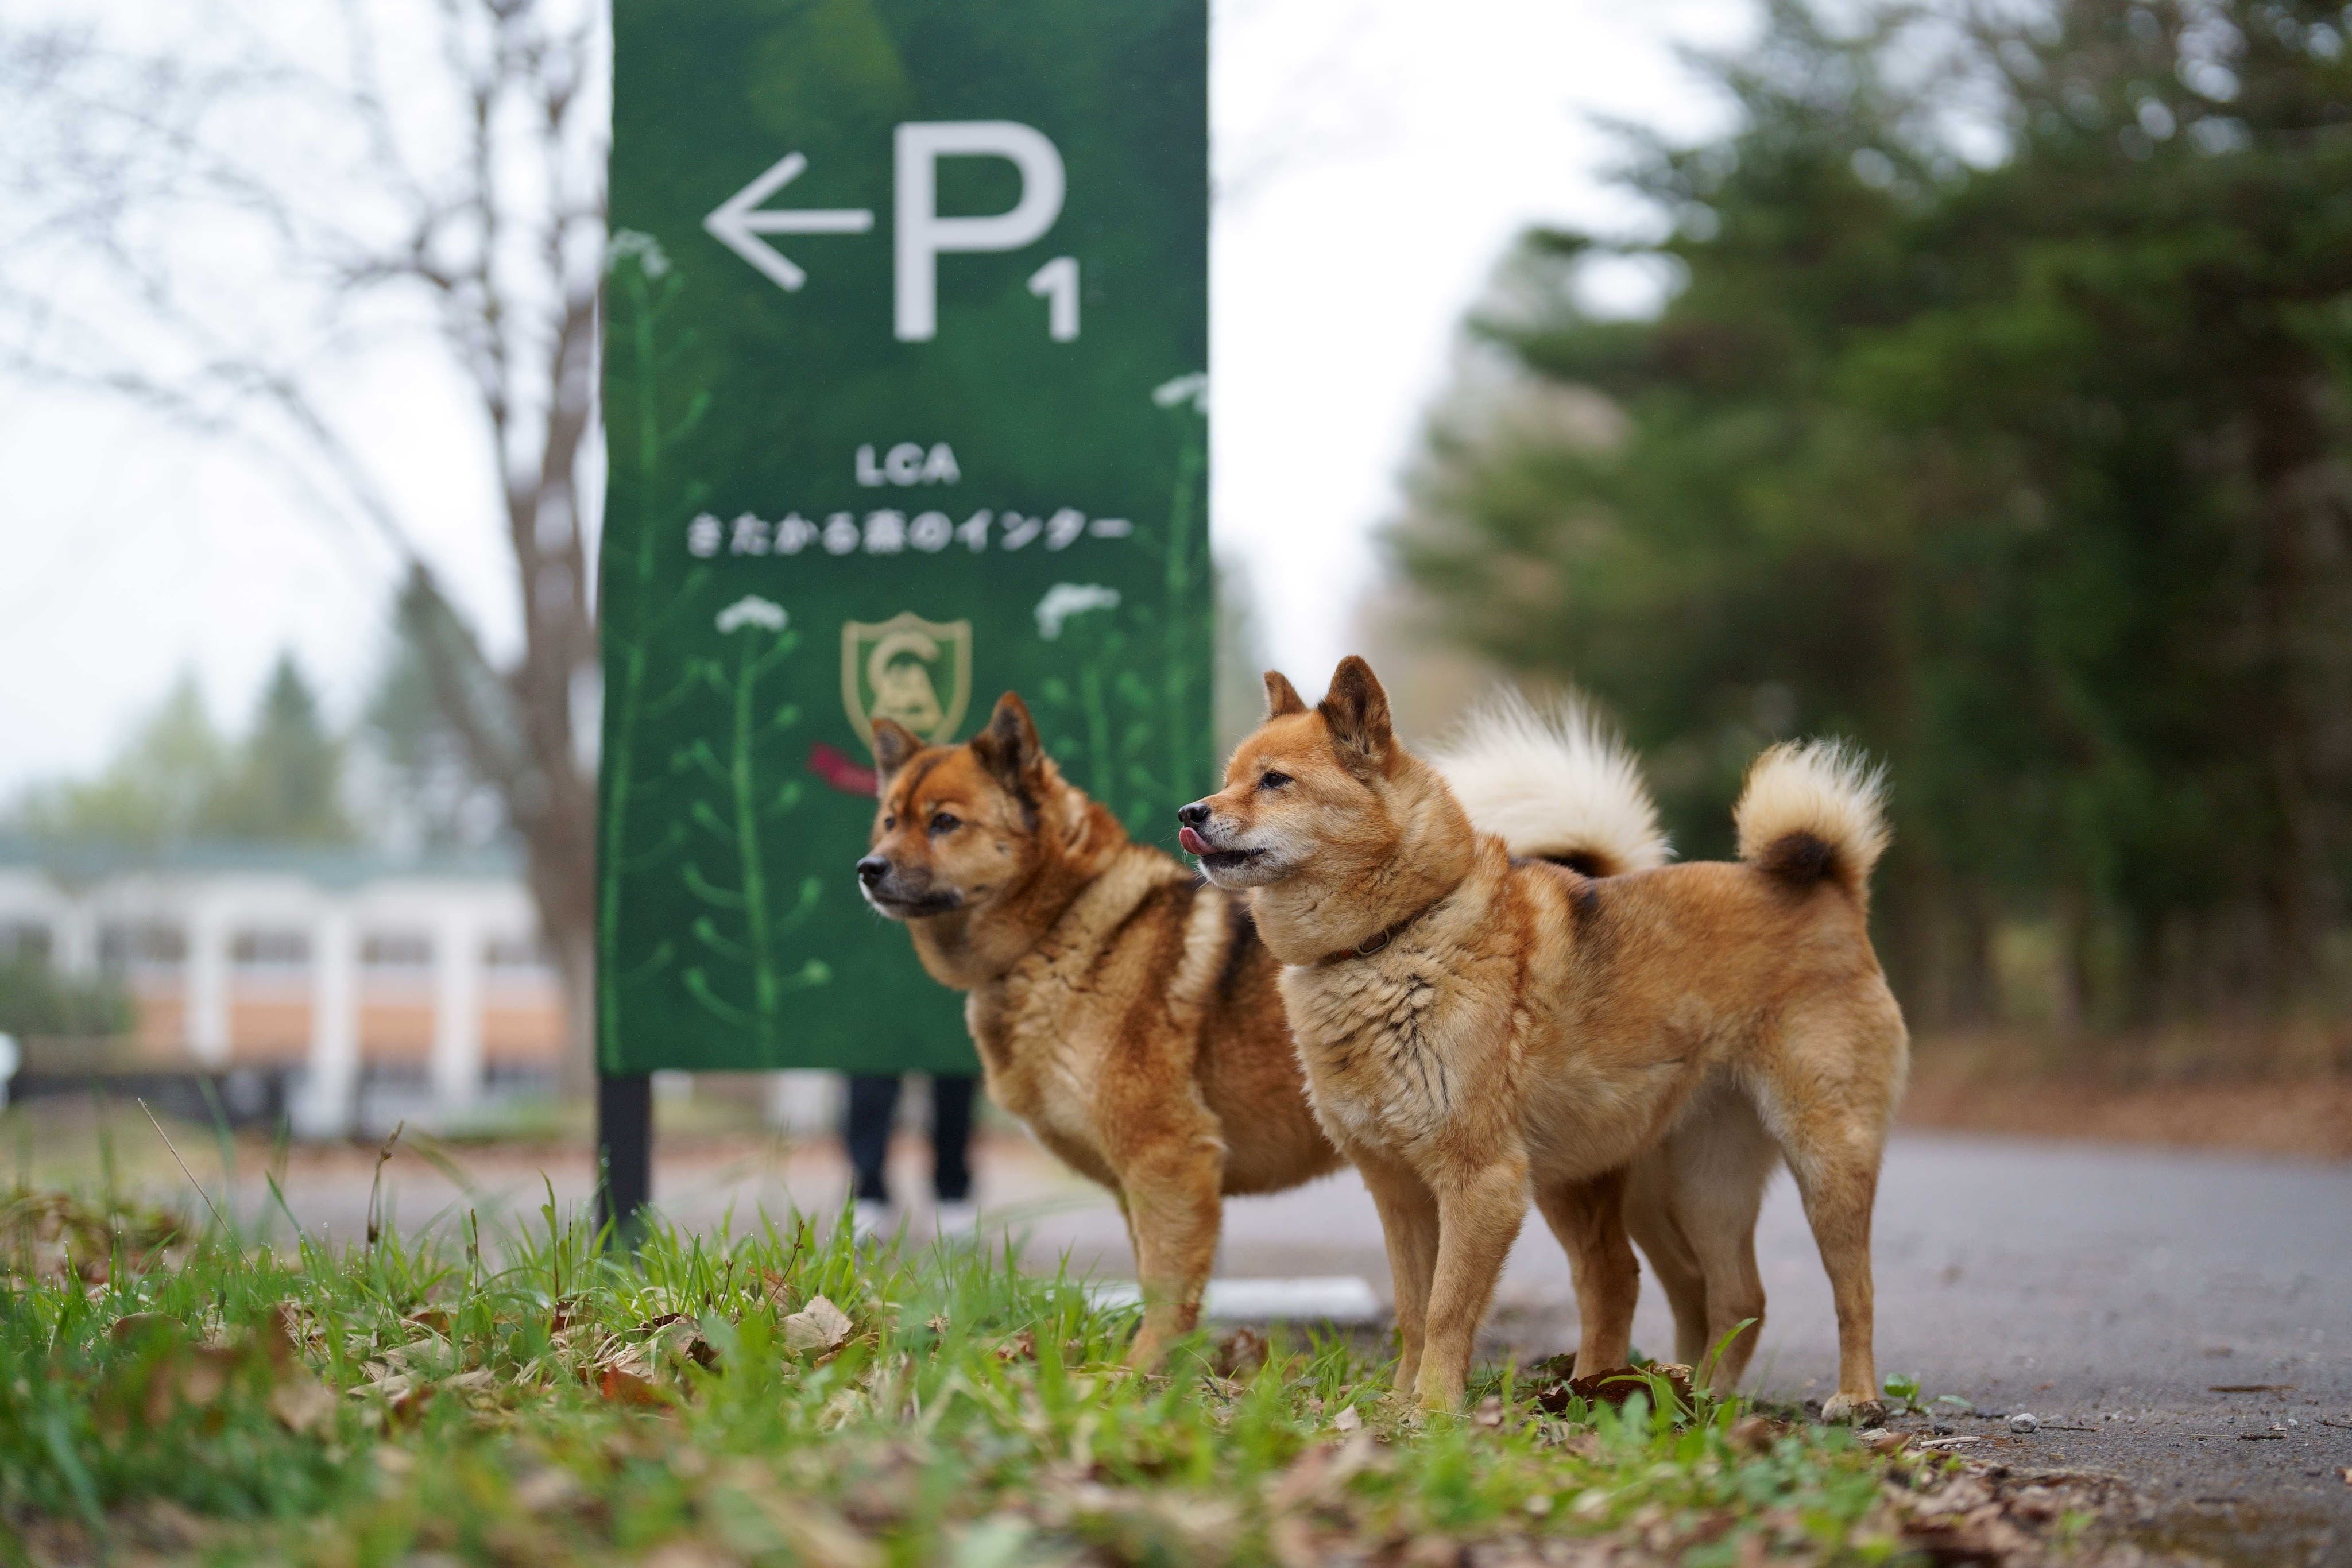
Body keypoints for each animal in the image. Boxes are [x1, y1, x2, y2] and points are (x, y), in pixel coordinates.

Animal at [856, 690, 1668, 1368]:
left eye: (945, 822)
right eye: (890, 820)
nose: (867, 868)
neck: (1065, 924)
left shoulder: (1170, 1163)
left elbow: (1167, 1291)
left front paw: (1137, 1376)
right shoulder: (1142, 1188)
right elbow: (1159, 1281)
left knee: (1609, 1277)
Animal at [1179, 658, 1908, 1418]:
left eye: (1275, 780)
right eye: (1230, 777)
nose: (1189, 813)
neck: (1391, 939)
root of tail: (1829, 888)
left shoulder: (1480, 1183)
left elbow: (1445, 1309)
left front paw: (1432, 1410)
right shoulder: (1398, 1191)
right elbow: (1412, 1309)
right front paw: (1398, 1403)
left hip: (1823, 1159)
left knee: (1851, 1288)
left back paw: (1853, 1395)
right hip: (1682, 1184)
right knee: (1730, 1295)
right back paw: (1687, 1399)